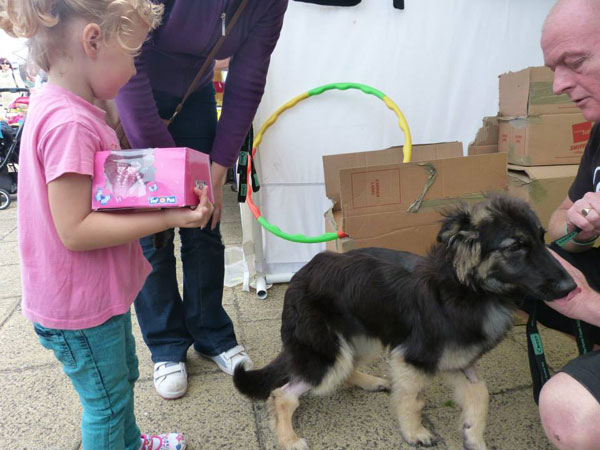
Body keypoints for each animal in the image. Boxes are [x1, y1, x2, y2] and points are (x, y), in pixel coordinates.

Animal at [232, 193, 576, 450]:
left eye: (542, 239)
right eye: (515, 246)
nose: (572, 287)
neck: (467, 289)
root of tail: (301, 273)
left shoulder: (456, 361)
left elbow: (481, 394)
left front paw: (473, 435)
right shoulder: (412, 359)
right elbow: (413, 400)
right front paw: (415, 433)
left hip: (361, 339)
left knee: (347, 370)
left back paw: (371, 381)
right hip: (328, 355)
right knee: (283, 394)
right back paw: (289, 439)